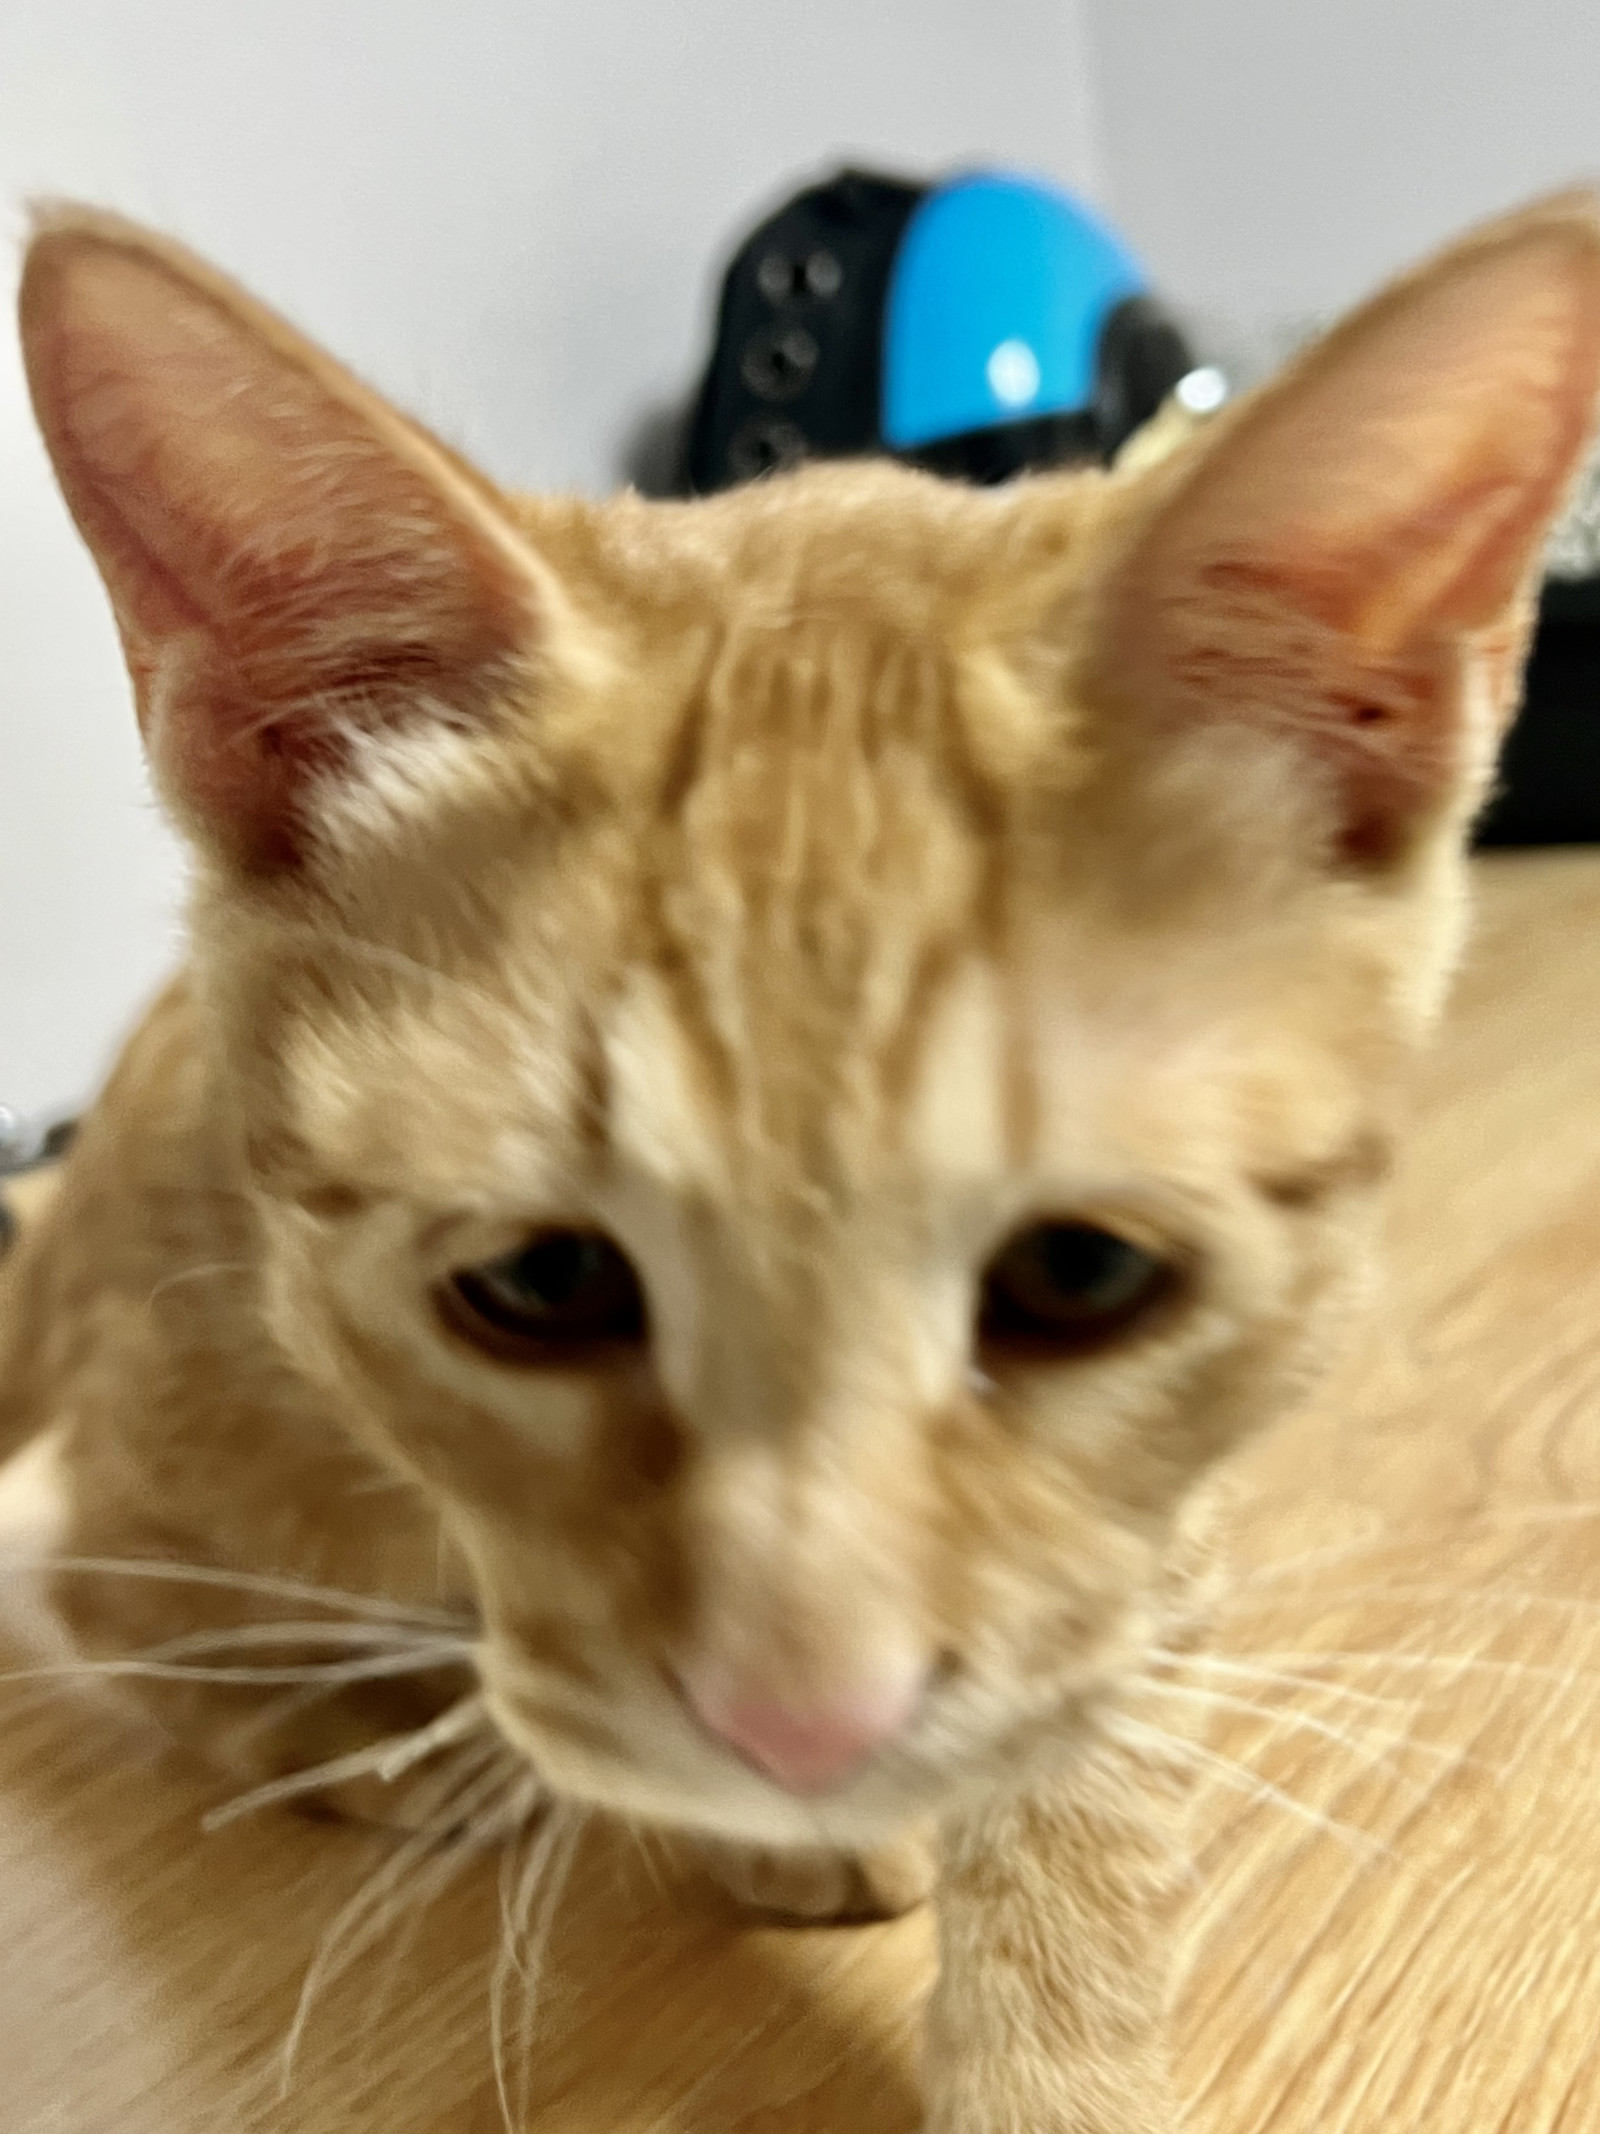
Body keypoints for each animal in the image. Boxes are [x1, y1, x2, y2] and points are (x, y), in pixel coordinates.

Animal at [3, 191, 1599, 2133]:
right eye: (537, 1281)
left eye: (1083, 1273)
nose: (805, 1727)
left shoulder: (1135, 1538)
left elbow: (1089, 1768)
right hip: (263, 1431)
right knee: (101, 1574)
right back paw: (366, 1732)